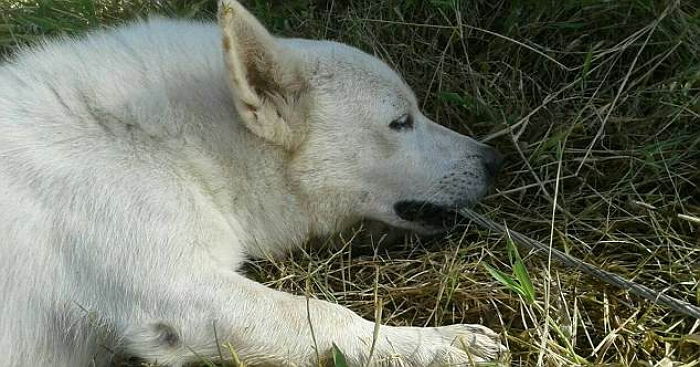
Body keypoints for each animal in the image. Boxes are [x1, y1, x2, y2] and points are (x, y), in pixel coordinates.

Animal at [0, 1, 508, 366]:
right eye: (401, 122)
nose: (496, 162)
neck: (160, 142)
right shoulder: (182, 291)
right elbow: (328, 316)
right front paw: (437, 344)